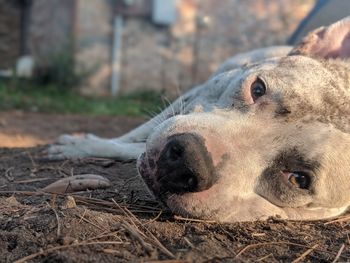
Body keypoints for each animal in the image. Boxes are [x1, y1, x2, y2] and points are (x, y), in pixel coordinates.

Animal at [45, 17, 350, 223]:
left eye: (298, 179)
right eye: (257, 88)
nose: (187, 160)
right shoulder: (188, 99)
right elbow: (129, 137)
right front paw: (82, 146)